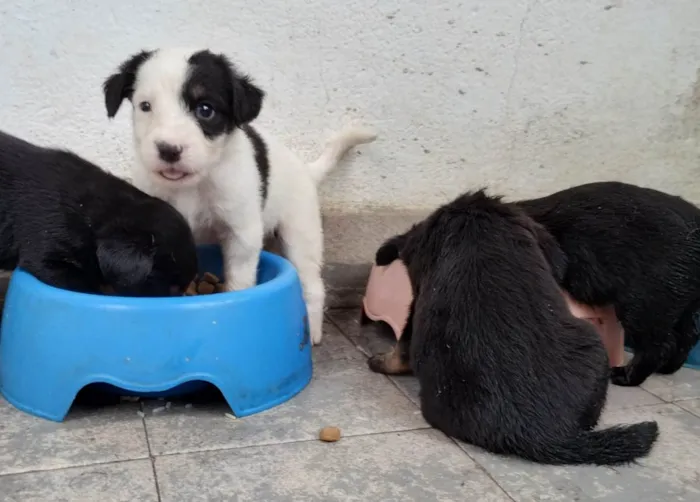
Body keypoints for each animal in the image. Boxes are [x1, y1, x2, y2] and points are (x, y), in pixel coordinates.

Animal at [102, 48, 378, 346]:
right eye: (145, 106)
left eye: (205, 110)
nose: (168, 150)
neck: (195, 183)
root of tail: (305, 169)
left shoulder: (241, 234)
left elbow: (239, 281)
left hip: (301, 234)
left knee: (312, 284)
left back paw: (313, 330)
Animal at [516, 182, 700, 386]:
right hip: (682, 304)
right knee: (688, 336)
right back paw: (667, 368)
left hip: (644, 305)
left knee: (659, 345)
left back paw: (627, 375)